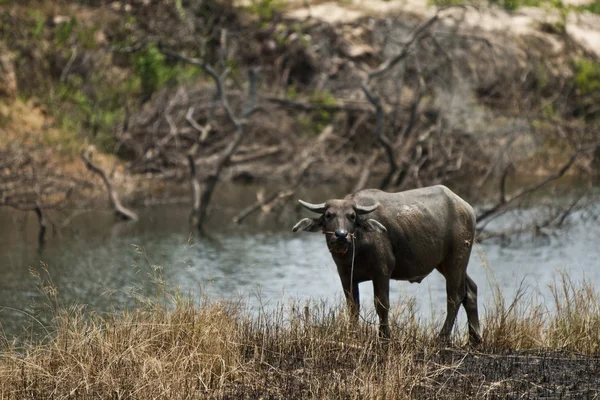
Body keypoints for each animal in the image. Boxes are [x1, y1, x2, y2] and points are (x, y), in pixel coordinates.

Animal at [292, 184, 480, 344]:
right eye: (329, 215)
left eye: (352, 216)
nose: (341, 235)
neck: (356, 249)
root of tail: (468, 209)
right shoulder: (346, 276)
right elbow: (353, 307)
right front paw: (353, 334)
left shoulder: (381, 272)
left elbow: (382, 304)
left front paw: (384, 337)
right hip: (445, 264)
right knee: (470, 290)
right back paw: (474, 338)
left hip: (456, 260)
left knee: (454, 296)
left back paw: (442, 338)